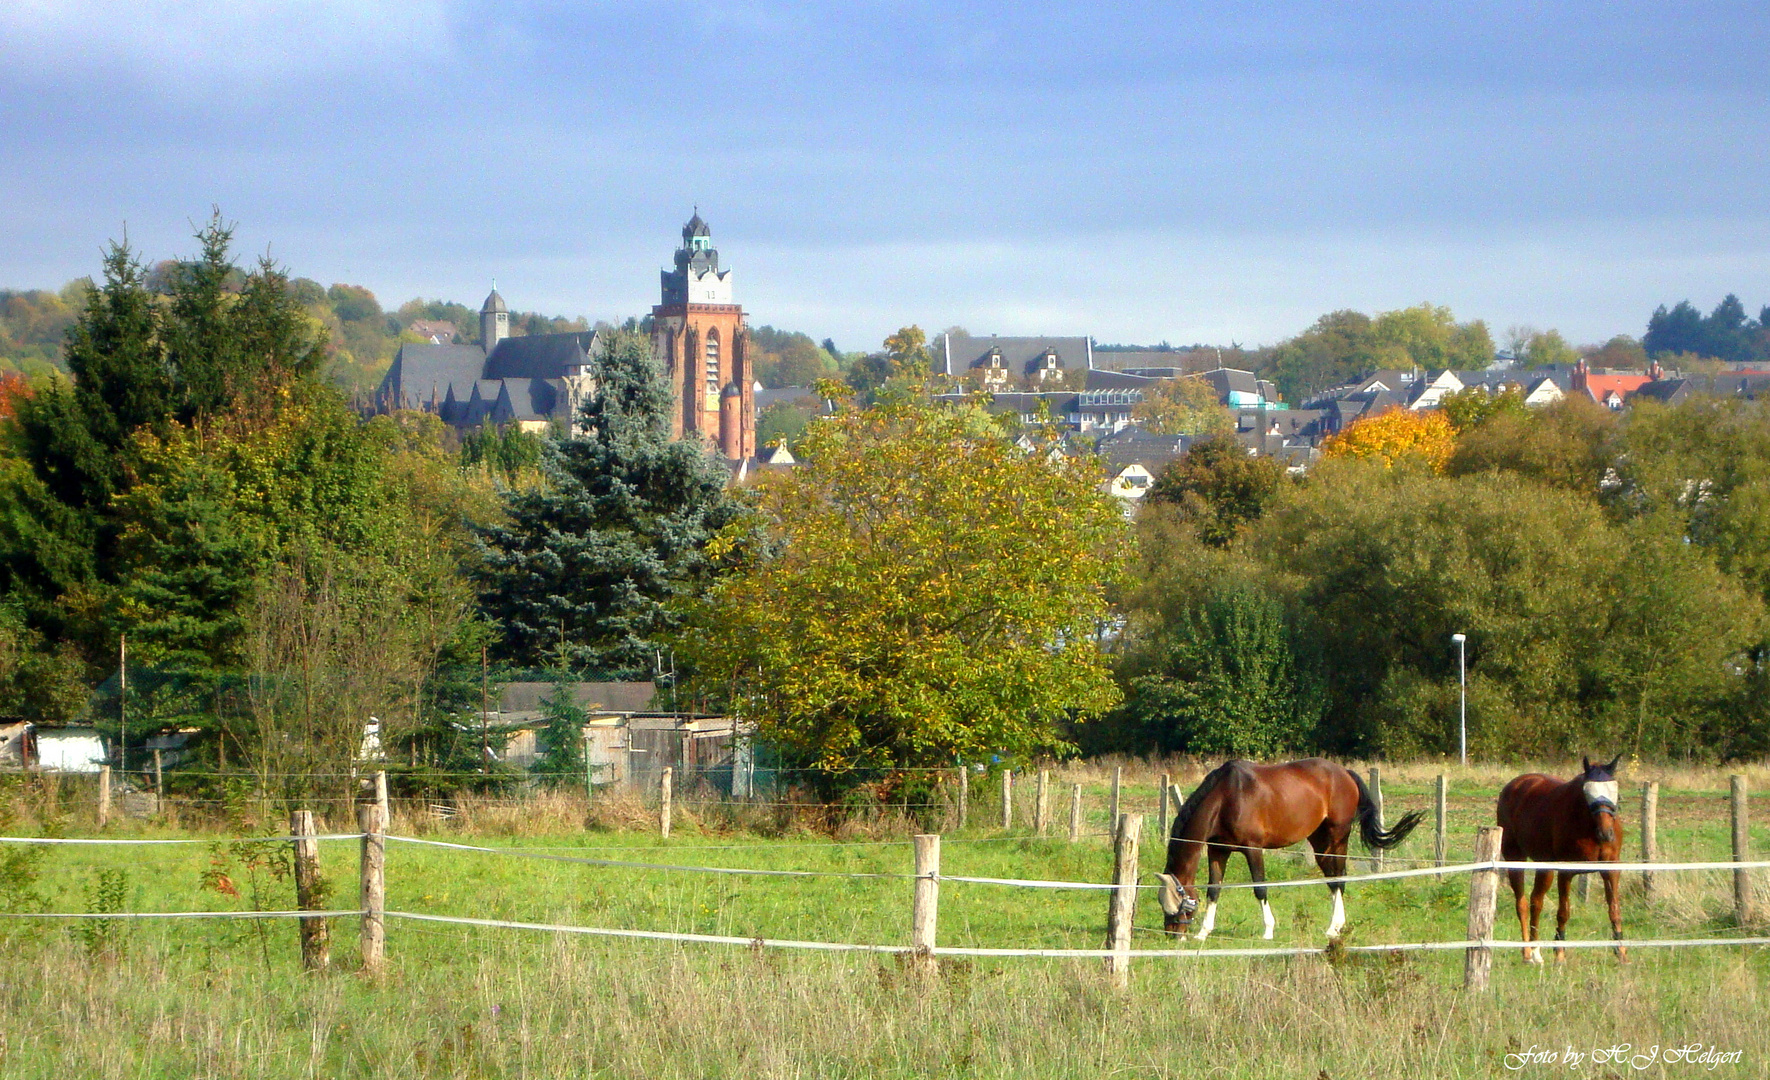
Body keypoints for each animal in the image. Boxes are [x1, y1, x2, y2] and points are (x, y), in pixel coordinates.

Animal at [1154, 757, 1430, 934]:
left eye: (1176, 904)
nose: (1172, 933)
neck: (1226, 797)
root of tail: (1344, 772)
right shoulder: (1217, 850)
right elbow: (1214, 889)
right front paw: (1204, 932)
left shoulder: (1253, 850)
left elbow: (1260, 888)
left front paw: (1268, 930)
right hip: (1319, 841)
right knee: (1331, 878)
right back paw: (1334, 926)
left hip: (1338, 837)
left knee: (1339, 877)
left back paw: (1334, 927)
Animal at [1500, 754, 1621, 963]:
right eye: (1587, 791)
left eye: (1614, 789)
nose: (1606, 833)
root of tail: (1516, 784)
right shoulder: (1566, 872)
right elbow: (1563, 912)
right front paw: (1560, 954)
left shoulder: (1611, 871)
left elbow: (1614, 911)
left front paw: (1622, 953)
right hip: (1515, 858)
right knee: (1522, 904)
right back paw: (1527, 953)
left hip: (1545, 866)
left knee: (1536, 902)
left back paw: (1536, 951)